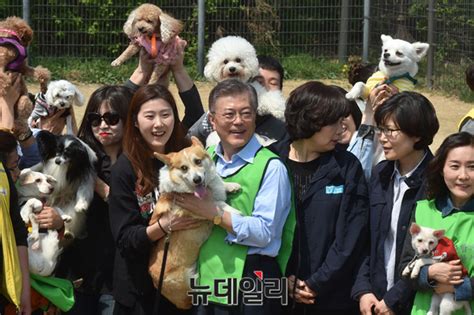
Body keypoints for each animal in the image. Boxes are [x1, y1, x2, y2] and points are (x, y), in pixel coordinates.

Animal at [149, 137, 239, 310]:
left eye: (198, 161)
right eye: (184, 168)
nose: (197, 179)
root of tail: (156, 284)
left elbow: (220, 186)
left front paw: (231, 185)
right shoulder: (197, 210)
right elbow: (218, 204)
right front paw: (235, 212)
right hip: (185, 280)